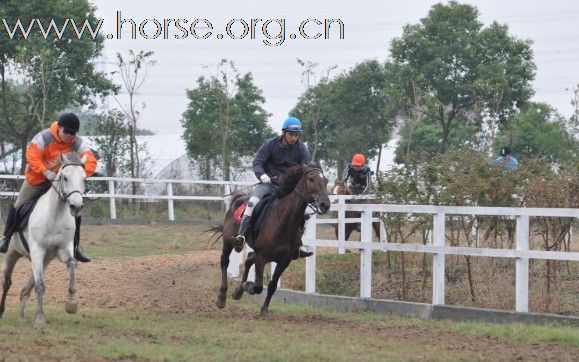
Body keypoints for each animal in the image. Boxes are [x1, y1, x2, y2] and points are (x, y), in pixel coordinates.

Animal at [0, 152, 88, 328]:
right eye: (64, 177)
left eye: (84, 178)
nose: (76, 207)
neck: (55, 214)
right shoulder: (37, 250)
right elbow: (40, 286)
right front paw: (40, 319)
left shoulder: (63, 250)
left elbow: (72, 264)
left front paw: (71, 304)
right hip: (12, 254)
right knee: (7, 283)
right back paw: (1, 311)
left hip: (45, 260)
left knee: (27, 287)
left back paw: (22, 316)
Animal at [213, 165, 330, 316]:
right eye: (311, 179)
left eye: (326, 180)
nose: (325, 204)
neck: (283, 222)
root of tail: (238, 200)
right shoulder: (262, 257)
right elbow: (258, 286)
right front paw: (248, 286)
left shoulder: (284, 261)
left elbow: (272, 285)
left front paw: (264, 309)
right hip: (228, 241)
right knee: (225, 262)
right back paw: (222, 297)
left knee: (249, 259)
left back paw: (238, 292)